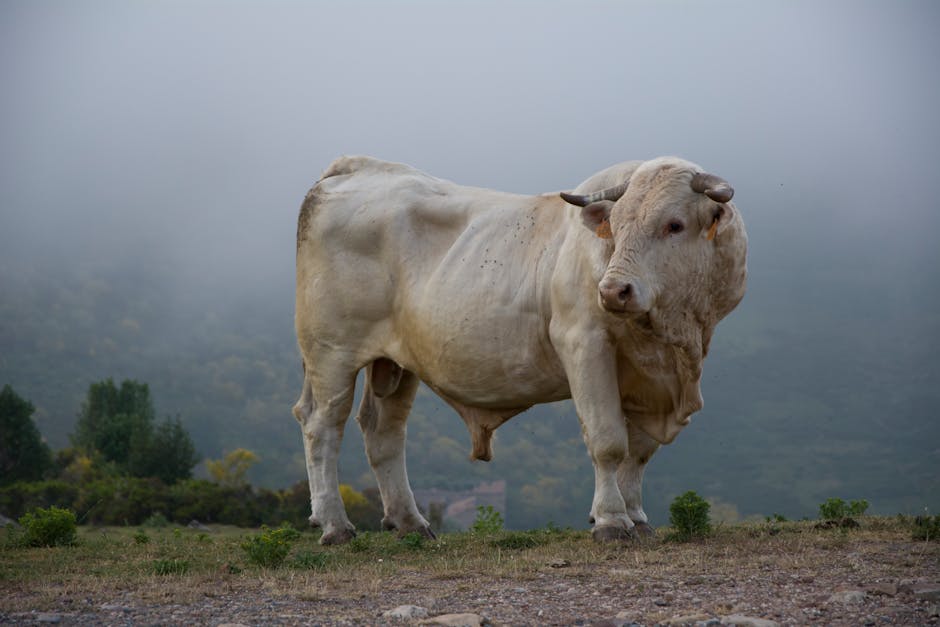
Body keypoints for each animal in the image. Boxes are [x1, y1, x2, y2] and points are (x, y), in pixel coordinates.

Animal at [293, 156, 747, 544]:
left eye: (674, 224)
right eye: (615, 226)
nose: (612, 291)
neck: (675, 336)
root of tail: (355, 167)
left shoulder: (648, 375)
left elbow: (638, 452)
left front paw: (636, 517)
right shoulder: (584, 343)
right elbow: (608, 441)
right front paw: (611, 521)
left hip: (395, 362)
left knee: (383, 431)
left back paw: (410, 522)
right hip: (330, 352)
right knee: (323, 425)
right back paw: (335, 525)